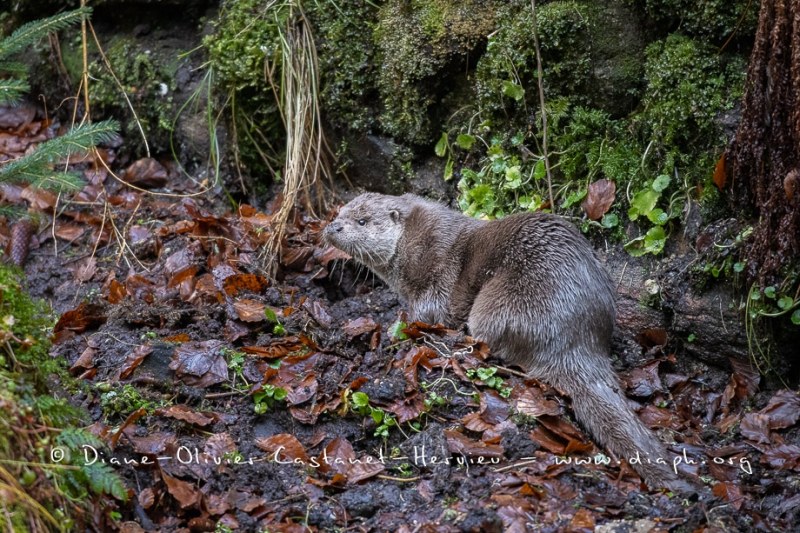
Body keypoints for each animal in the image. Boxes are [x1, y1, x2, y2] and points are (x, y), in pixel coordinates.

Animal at [322, 191, 692, 490]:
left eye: (361, 220)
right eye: (341, 212)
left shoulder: (436, 274)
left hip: (501, 305)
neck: (414, 244)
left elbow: (428, 312)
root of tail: (575, 340)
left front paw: (393, 326)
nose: (333, 227)